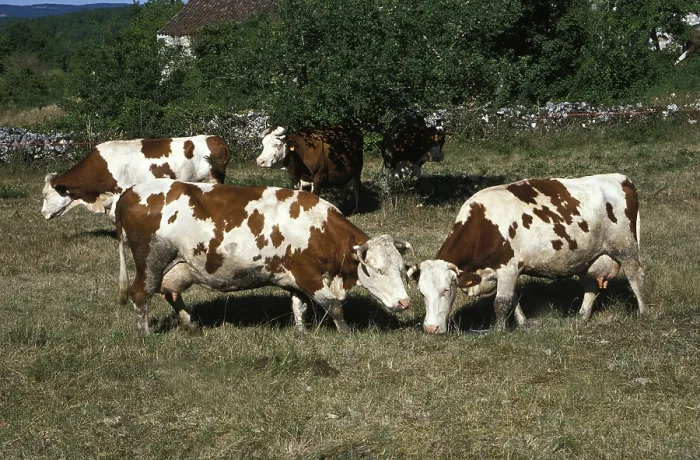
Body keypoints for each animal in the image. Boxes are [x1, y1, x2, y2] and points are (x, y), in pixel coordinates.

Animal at [41, 135, 230, 220]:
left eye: (45, 195)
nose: (42, 213)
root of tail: (215, 138)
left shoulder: (121, 189)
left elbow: (115, 216)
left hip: (215, 178)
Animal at [116, 179, 413, 334]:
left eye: (401, 269)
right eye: (379, 270)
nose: (404, 302)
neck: (318, 227)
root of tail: (131, 191)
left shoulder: (295, 277)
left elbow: (299, 307)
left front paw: (302, 334)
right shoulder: (309, 275)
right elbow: (334, 306)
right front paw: (346, 334)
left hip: (177, 265)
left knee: (170, 292)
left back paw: (191, 324)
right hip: (151, 261)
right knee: (140, 293)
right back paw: (145, 334)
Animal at [408, 174, 646, 334]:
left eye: (446, 291)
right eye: (421, 293)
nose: (430, 329)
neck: (485, 225)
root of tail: (620, 178)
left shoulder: (508, 268)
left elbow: (501, 303)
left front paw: (498, 332)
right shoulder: (506, 273)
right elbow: (513, 300)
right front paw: (522, 324)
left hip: (626, 248)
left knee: (636, 278)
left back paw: (643, 313)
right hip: (587, 257)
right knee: (591, 286)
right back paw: (581, 317)